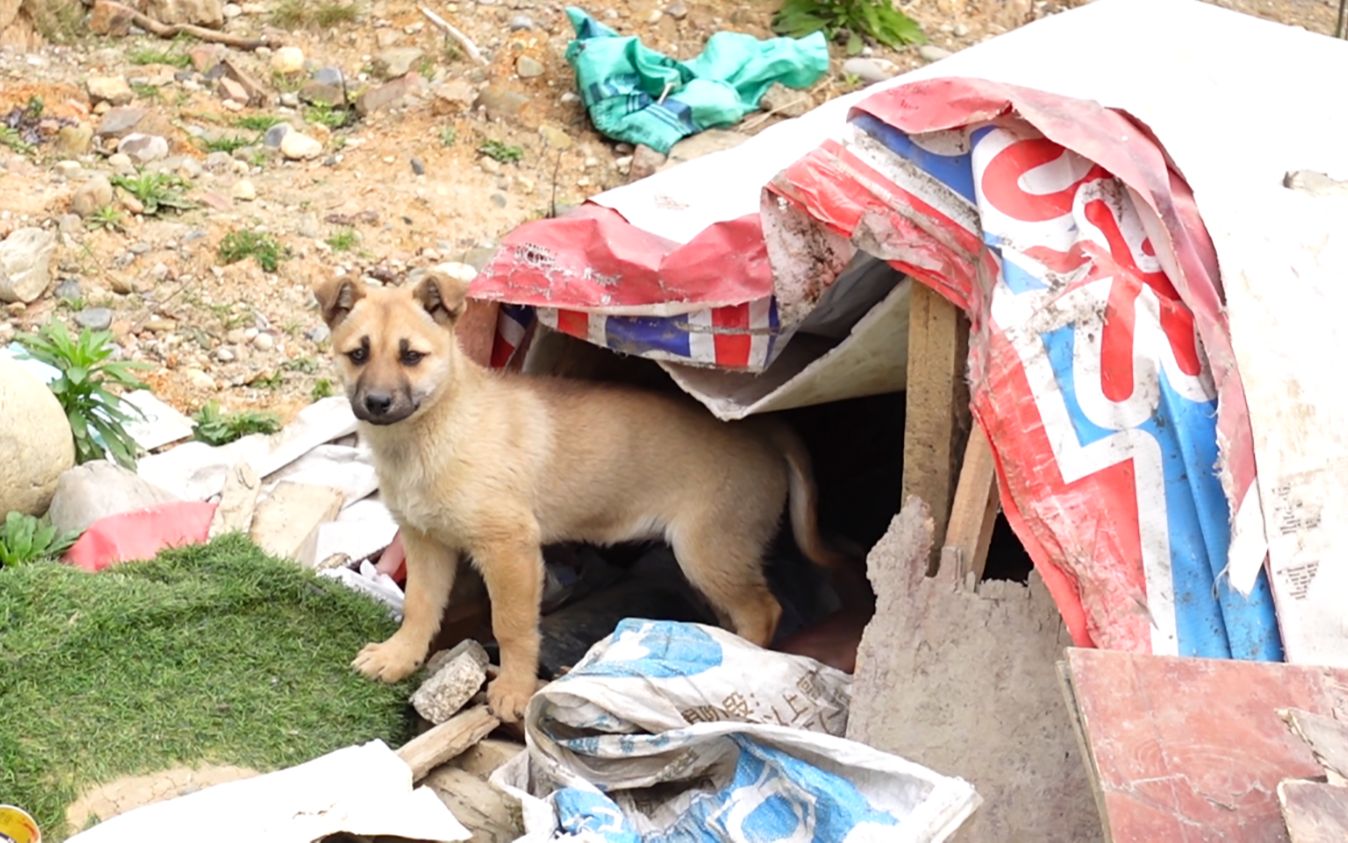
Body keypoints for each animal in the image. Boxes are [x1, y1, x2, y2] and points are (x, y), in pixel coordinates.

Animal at [311, 272, 846, 717]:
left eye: (411, 356)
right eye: (358, 354)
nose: (377, 403)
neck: (436, 430)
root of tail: (767, 429)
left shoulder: (510, 549)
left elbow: (511, 626)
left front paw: (513, 690)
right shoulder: (426, 542)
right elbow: (420, 607)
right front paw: (399, 657)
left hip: (710, 551)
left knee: (763, 610)